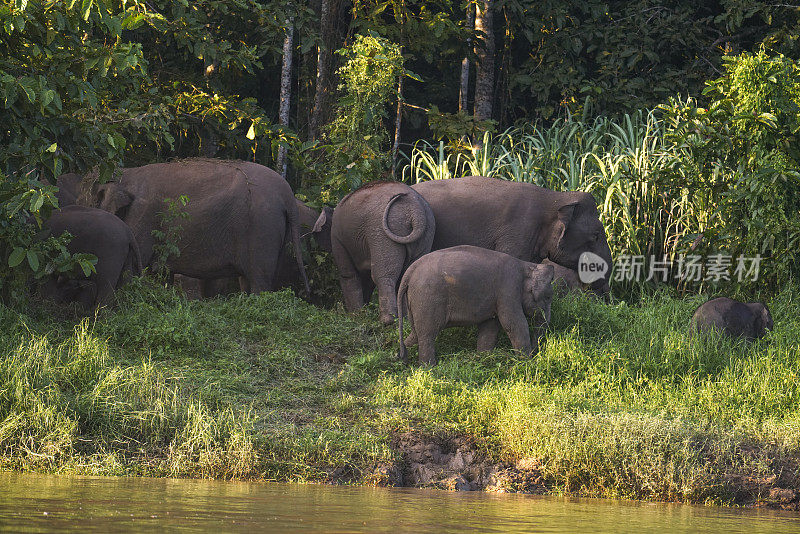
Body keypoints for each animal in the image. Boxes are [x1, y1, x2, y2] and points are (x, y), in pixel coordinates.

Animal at [87, 159, 310, 298]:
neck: (126, 174)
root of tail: (288, 194)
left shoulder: (142, 215)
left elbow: (134, 265)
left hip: (261, 226)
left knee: (259, 280)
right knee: (248, 279)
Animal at [316, 181, 434, 326]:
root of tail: (417, 213)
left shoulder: (337, 239)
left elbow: (348, 275)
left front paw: (356, 316)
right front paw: (361, 312)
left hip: (381, 233)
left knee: (382, 274)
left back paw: (387, 321)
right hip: (426, 233)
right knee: (408, 273)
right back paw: (405, 321)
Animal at [396, 247, 556, 368]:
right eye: (548, 297)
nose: (537, 353)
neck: (526, 265)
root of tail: (410, 271)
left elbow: (490, 326)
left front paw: (484, 358)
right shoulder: (508, 288)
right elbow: (514, 324)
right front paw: (527, 363)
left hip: (416, 301)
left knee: (416, 333)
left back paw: (402, 358)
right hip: (428, 297)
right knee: (427, 334)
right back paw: (428, 368)